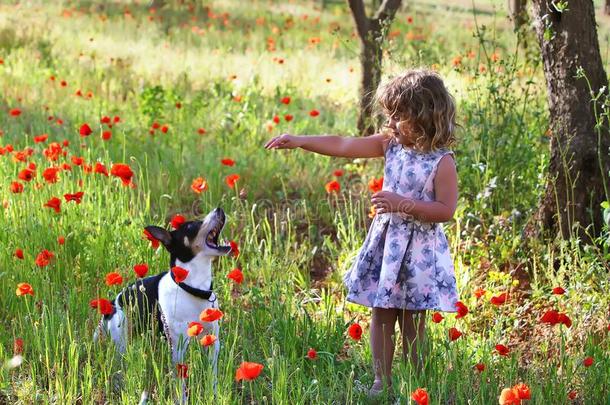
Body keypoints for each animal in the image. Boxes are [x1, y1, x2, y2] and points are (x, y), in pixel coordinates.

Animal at [95, 207, 230, 396]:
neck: (192, 289)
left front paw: (214, 395)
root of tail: (112, 305)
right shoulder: (178, 351)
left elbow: (213, 377)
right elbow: (180, 385)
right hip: (121, 341)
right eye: (191, 226)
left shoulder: (212, 344)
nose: (219, 209)